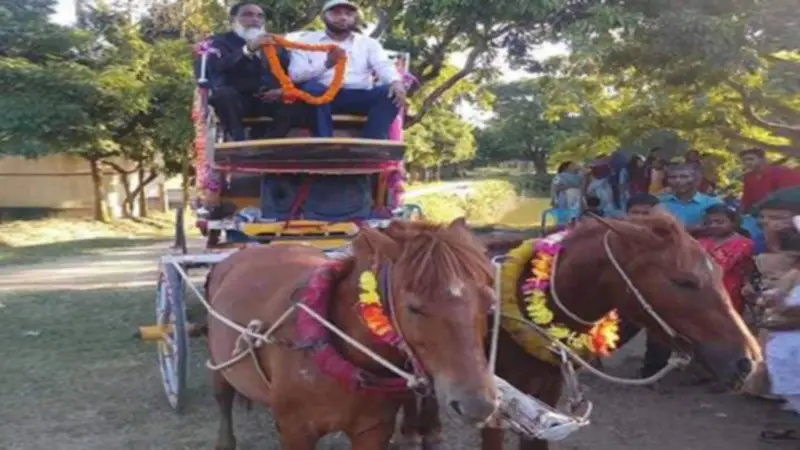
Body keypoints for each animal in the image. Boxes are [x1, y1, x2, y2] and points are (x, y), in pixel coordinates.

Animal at [203, 217, 496, 446]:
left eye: (489, 302)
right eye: (413, 308)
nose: (478, 404)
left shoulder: (373, 429)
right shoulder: (296, 431)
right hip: (220, 366)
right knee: (223, 400)